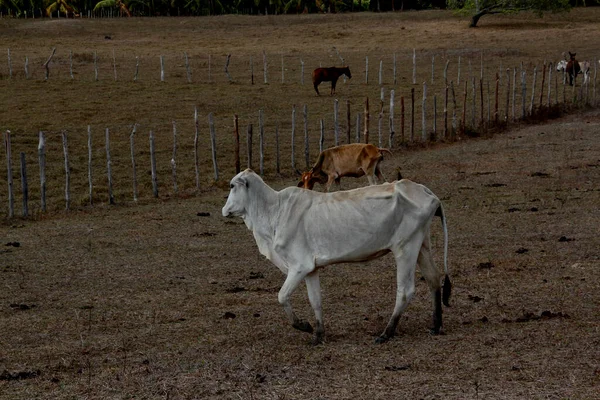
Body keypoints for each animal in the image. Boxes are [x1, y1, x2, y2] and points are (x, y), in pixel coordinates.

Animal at [221, 169, 450, 344]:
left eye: (232, 186)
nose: (224, 210)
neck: (274, 212)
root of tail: (424, 191)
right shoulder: (310, 269)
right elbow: (316, 301)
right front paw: (318, 334)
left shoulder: (299, 266)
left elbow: (282, 296)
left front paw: (304, 326)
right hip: (421, 245)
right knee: (433, 278)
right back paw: (436, 324)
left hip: (405, 248)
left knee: (405, 290)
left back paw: (386, 333)